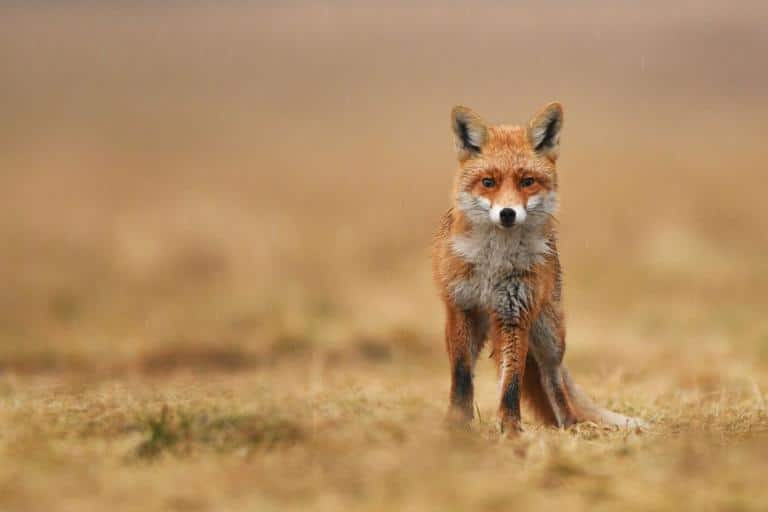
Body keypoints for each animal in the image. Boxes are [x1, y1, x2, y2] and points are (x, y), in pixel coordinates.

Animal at [432, 101, 640, 436]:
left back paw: (568, 426)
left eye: (527, 181)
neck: (493, 263)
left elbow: (512, 383)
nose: (507, 213)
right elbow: (462, 376)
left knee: (553, 381)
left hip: (549, 336)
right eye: (488, 182)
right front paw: (456, 424)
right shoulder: (460, 308)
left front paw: (511, 429)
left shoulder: (515, 315)